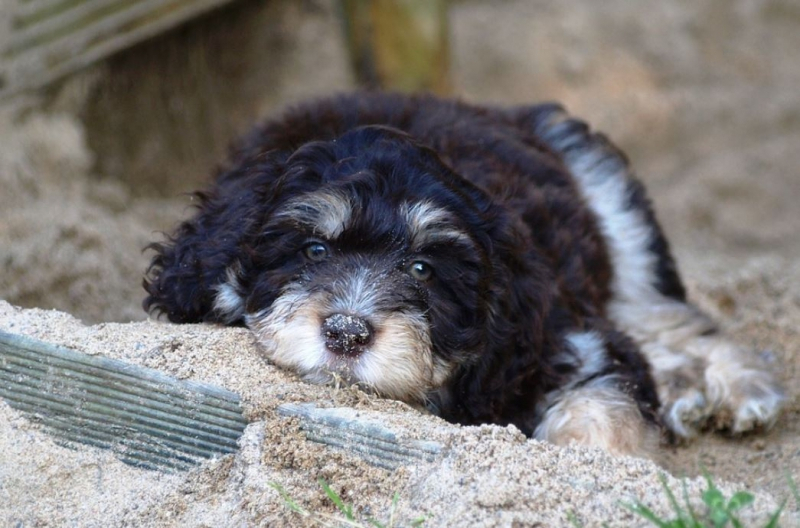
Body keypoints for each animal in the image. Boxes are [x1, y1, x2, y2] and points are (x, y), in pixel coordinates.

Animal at [142, 93, 780, 456]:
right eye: (314, 250)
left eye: (424, 269)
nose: (346, 333)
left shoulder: (566, 339)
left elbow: (603, 411)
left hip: (608, 200)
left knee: (666, 316)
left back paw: (740, 387)